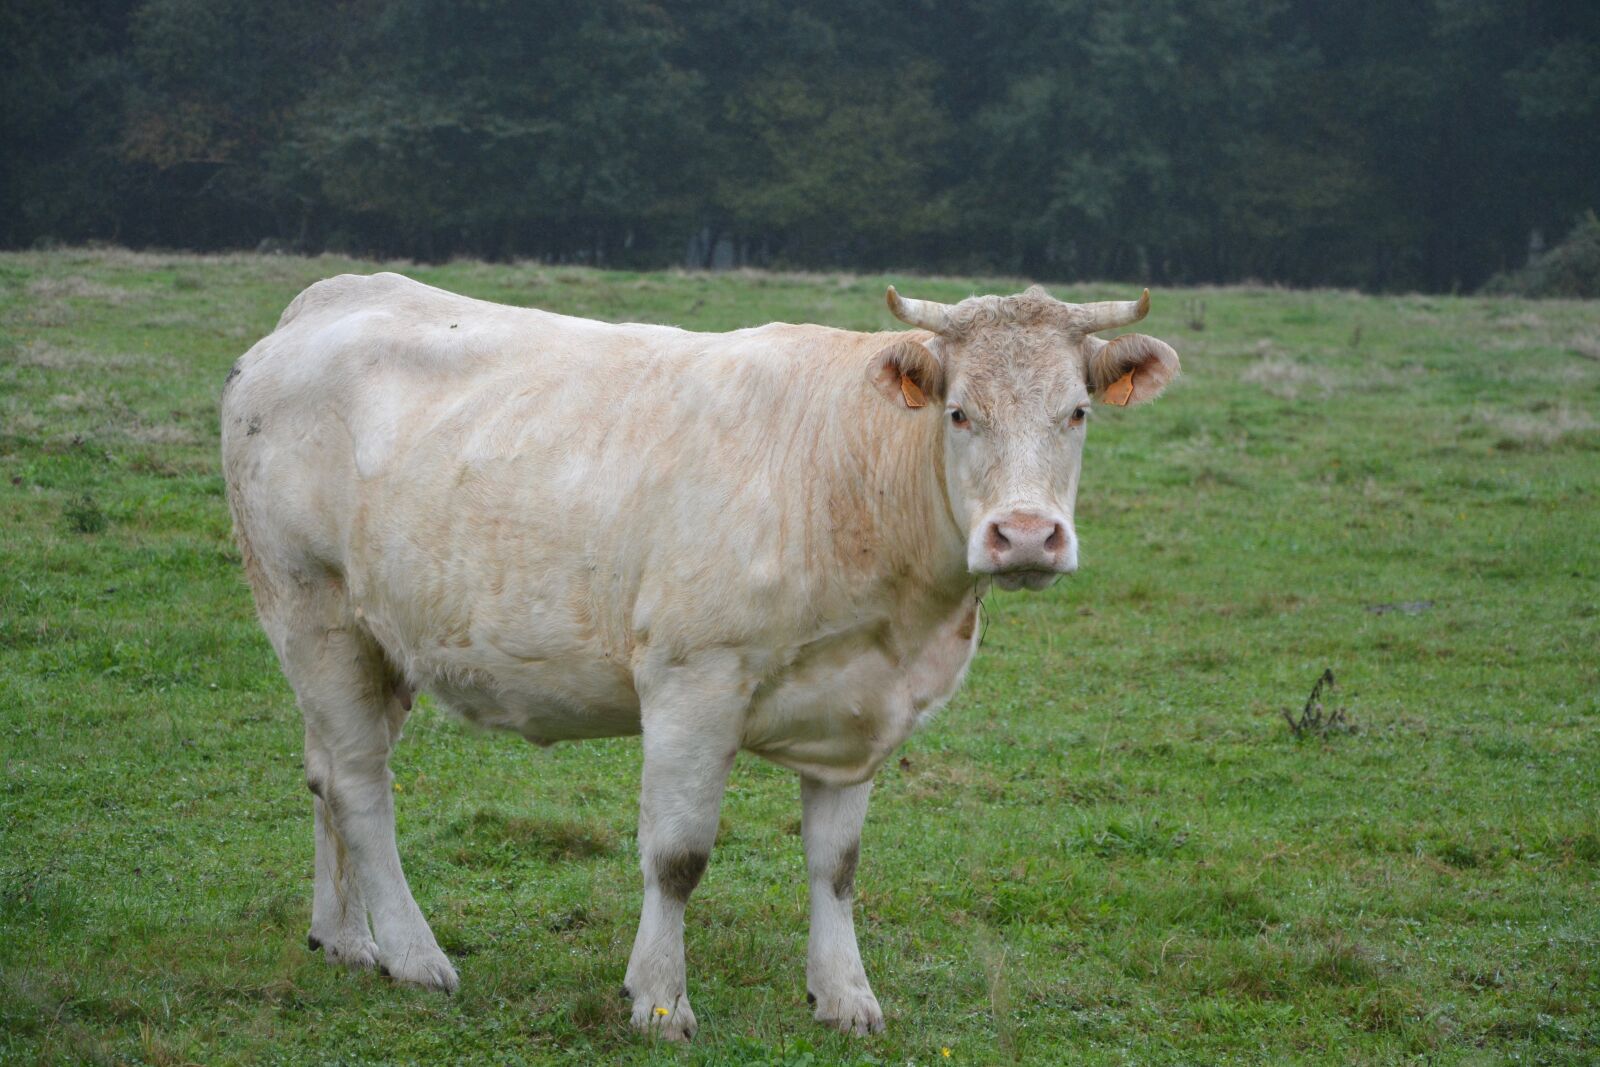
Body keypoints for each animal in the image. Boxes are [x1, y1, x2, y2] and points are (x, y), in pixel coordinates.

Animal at [220, 274, 1178, 1040]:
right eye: (959, 412)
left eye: (1077, 412)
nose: (1026, 535)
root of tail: (328, 298)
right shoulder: (692, 679)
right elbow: (677, 856)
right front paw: (657, 1000)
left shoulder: (858, 708)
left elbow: (837, 866)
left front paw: (845, 996)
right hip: (310, 607)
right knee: (359, 786)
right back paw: (414, 954)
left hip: (379, 639)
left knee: (326, 773)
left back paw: (345, 938)